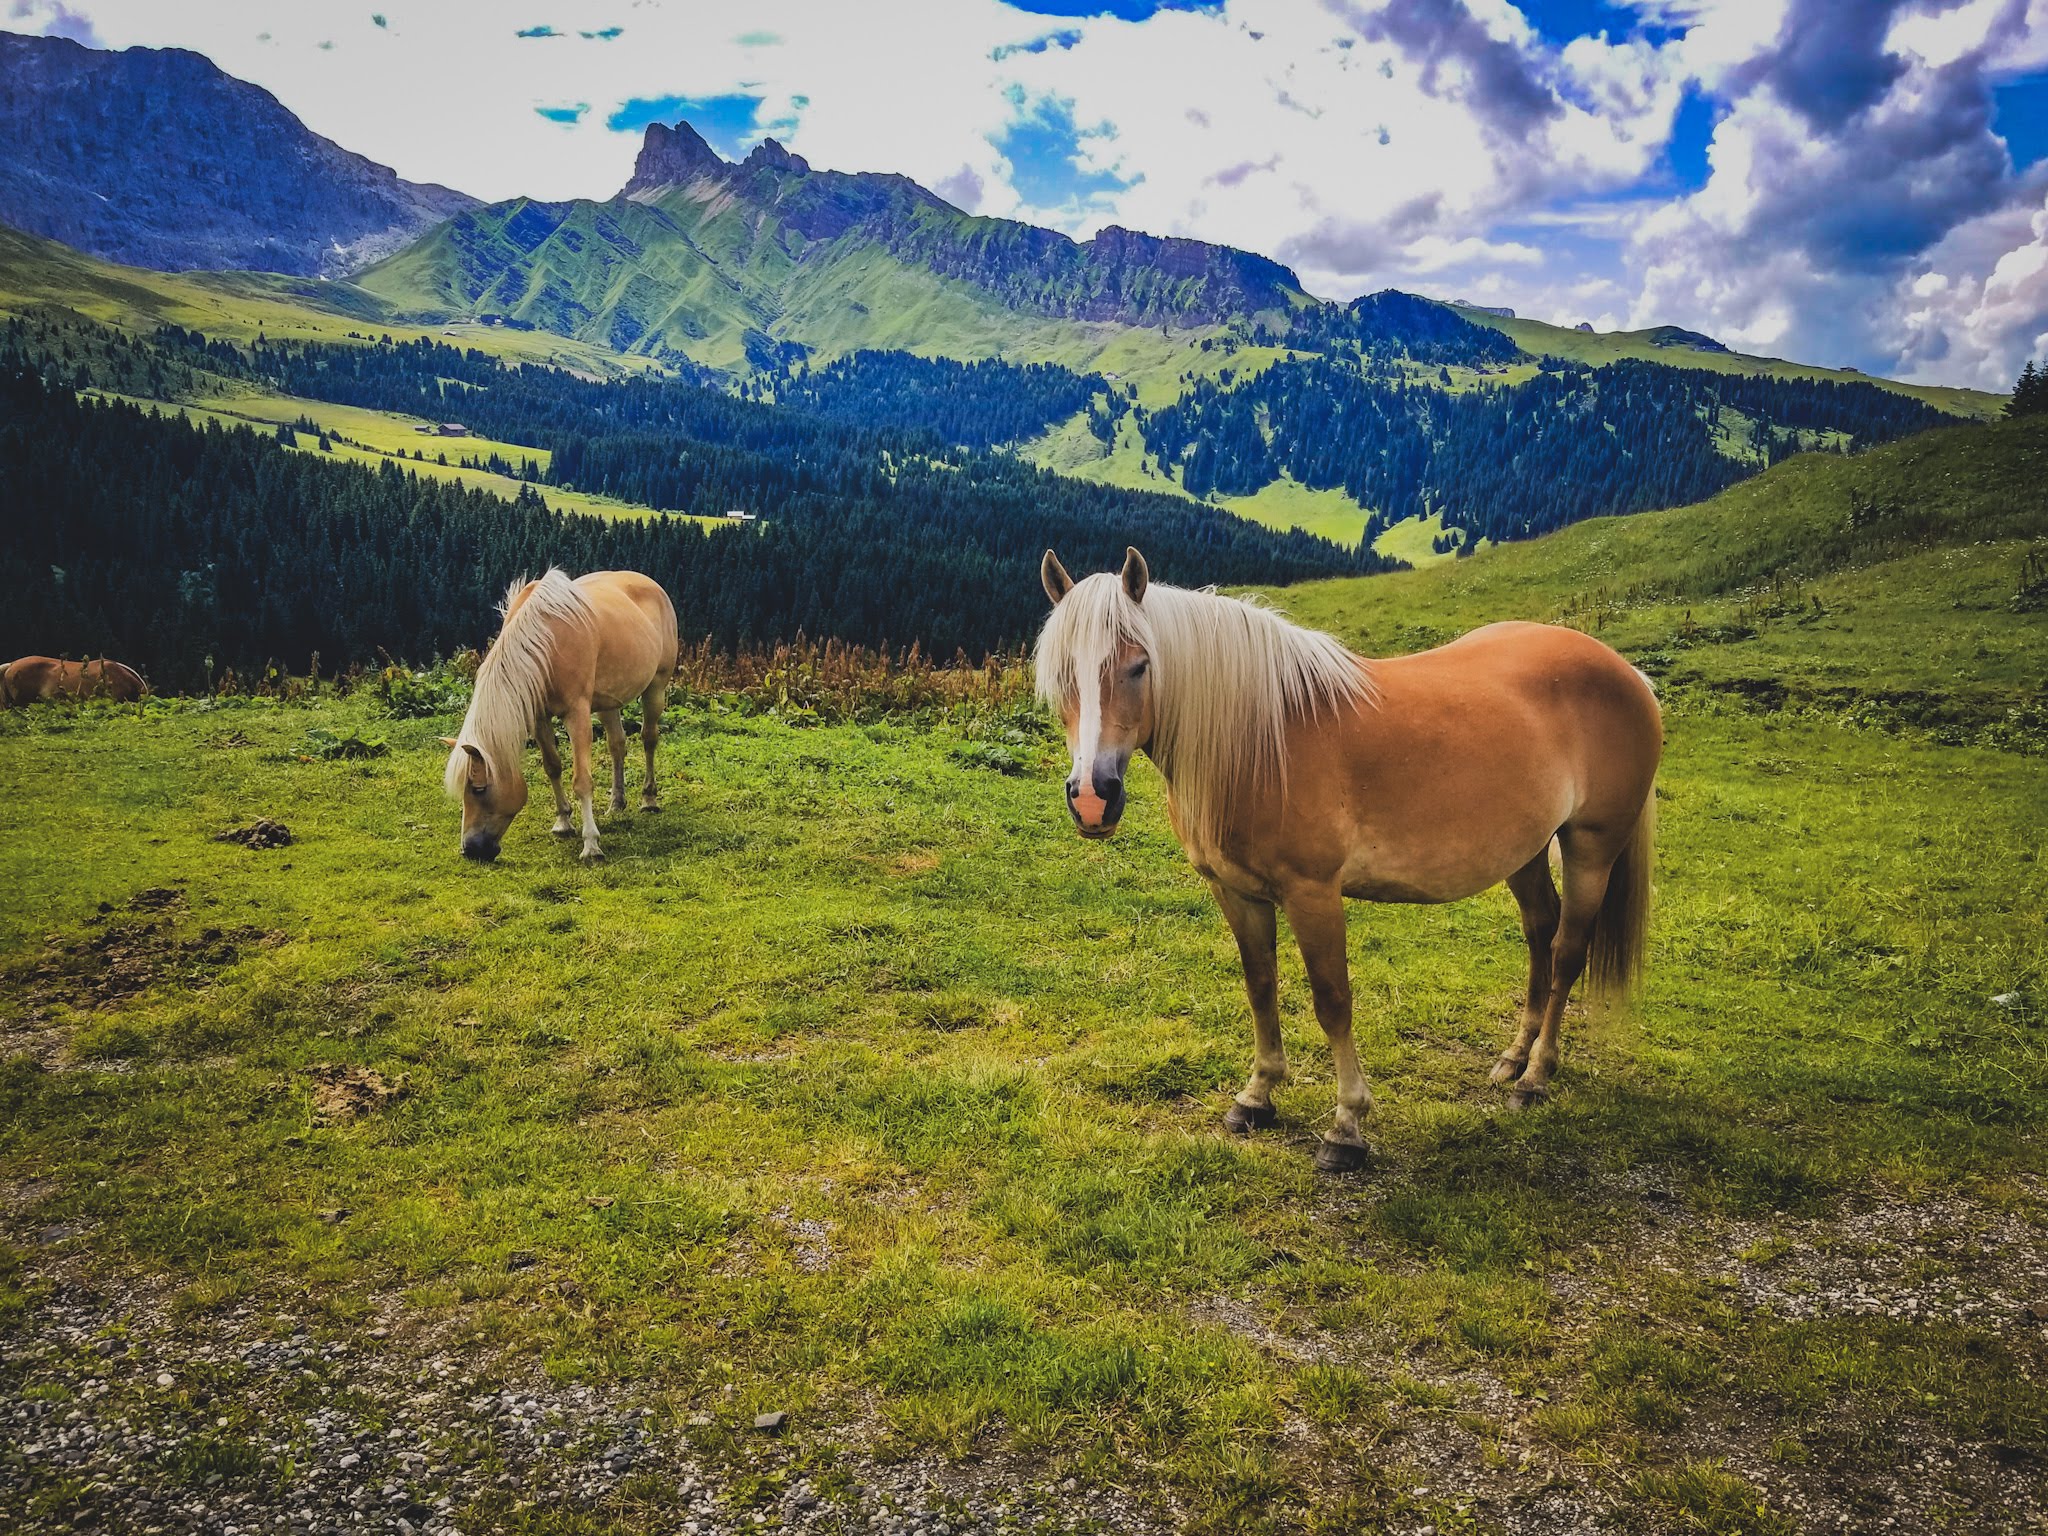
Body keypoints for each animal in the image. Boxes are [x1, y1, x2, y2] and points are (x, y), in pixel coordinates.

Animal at [442, 573, 679, 872]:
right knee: (617, 745)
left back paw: (648, 799)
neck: (545, 641)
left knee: (649, 739)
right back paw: (616, 803)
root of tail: (651, 584)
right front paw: (563, 822)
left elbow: (582, 781)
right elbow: (553, 766)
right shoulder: (539, 717)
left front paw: (591, 846)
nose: (470, 850)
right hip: (608, 702)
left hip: (656, 688)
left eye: (479, 789)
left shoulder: (577, 715)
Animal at [1040, 548, 1662, 1171]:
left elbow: (1332, 1001)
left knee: (1566, 952)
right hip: (1525, 852)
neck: (1263, 739)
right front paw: (1256, 1097)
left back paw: (1535, 1077)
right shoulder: (1236, 891)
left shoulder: (1313, 893)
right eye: (1061, 672)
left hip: (1591, 848)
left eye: (1139, 666)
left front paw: (1346, 1126)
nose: (1092, 797)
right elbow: (1260, 986)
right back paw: (1513, 1057)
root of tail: (1627, 672)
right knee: (1540, 933)